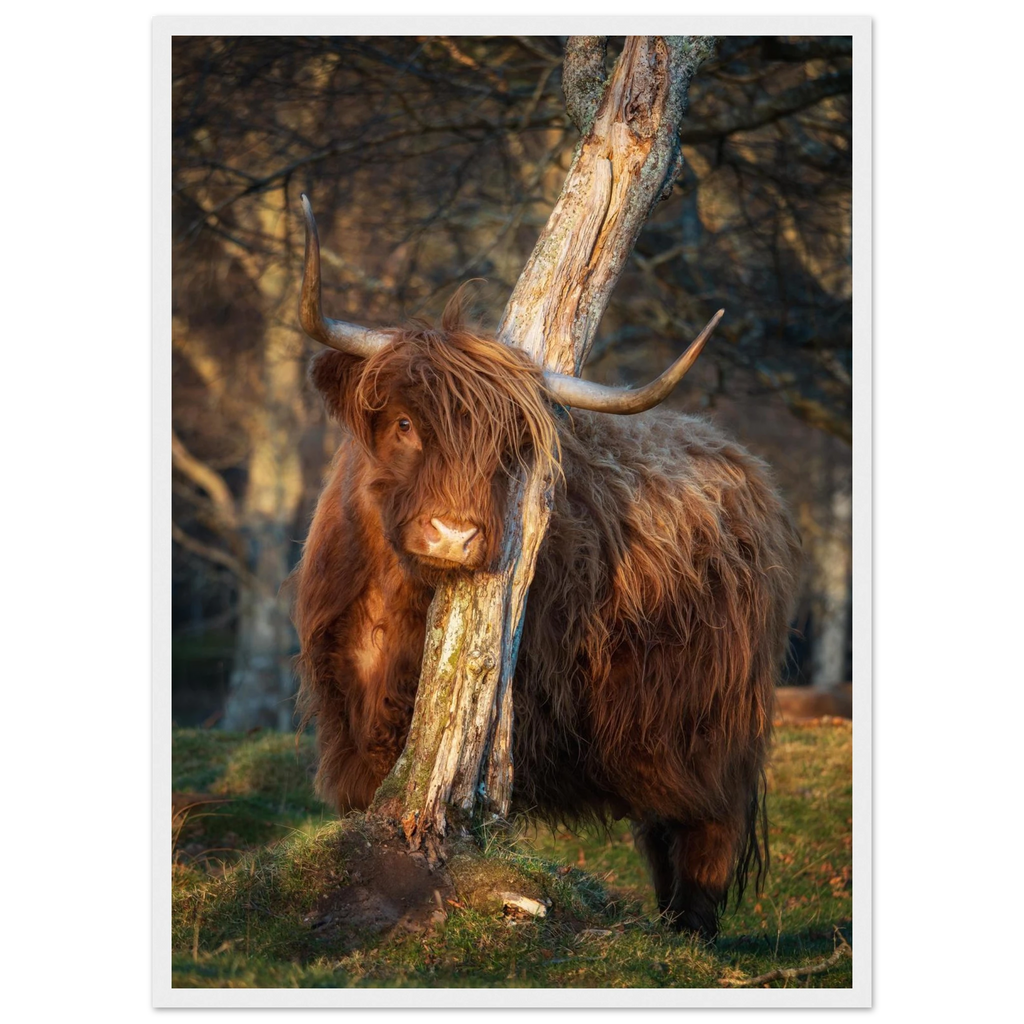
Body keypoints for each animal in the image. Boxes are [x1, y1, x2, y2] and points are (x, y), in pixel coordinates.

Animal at [291, 196, 802, 938]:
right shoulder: (346, 714)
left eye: (508, 448)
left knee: (706, 833)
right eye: (406, 423)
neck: (388, 604)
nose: (454, 535)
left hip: (714, 724)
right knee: (662, 832)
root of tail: (743, 463)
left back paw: (689, 935)